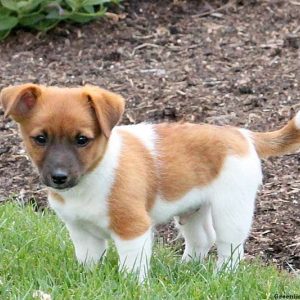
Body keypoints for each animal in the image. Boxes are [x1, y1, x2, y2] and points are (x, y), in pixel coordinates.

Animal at [1, 84, 298, 282]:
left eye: (82, 140)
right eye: (40, 139)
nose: (59, 177)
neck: (95, 175)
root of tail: (243, 135)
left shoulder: (133, 229)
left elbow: (131, 270)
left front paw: (130, 288)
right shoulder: (82, 233)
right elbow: (88, 262)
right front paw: (87, 280)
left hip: (231, 210)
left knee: (230, 248)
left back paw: (221, 276)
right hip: (192, 209)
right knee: (202, 239)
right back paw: (186, 269)